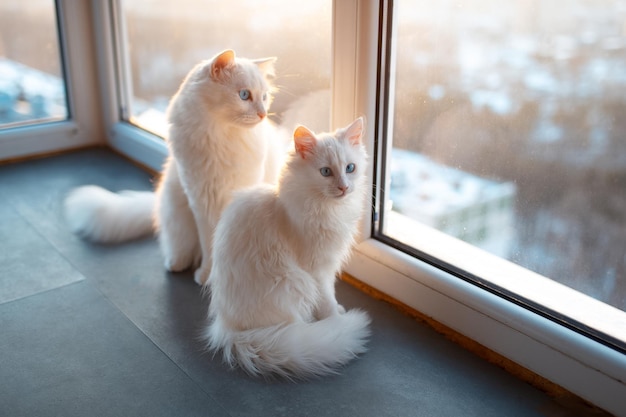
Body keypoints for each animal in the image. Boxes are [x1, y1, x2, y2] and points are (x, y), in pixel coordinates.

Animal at [62, 48, 284, 282]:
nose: (262, 114)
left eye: (264, 97)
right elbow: (209, 246)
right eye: (244, 95)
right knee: (181, 248)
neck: (220, 138)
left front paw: (214, 279)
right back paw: (176, 264)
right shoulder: (201, 203)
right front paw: (206, 275)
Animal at [204, 116, 370, 376]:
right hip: (294, 284)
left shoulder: (327, 268)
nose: (344, 187)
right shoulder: (317, 271)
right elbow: (327, 300)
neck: (327, 208)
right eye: (325, 172)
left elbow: (332, 298)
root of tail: (229, 329)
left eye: (350, 168)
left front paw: (339, 312)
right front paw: (337, 321)